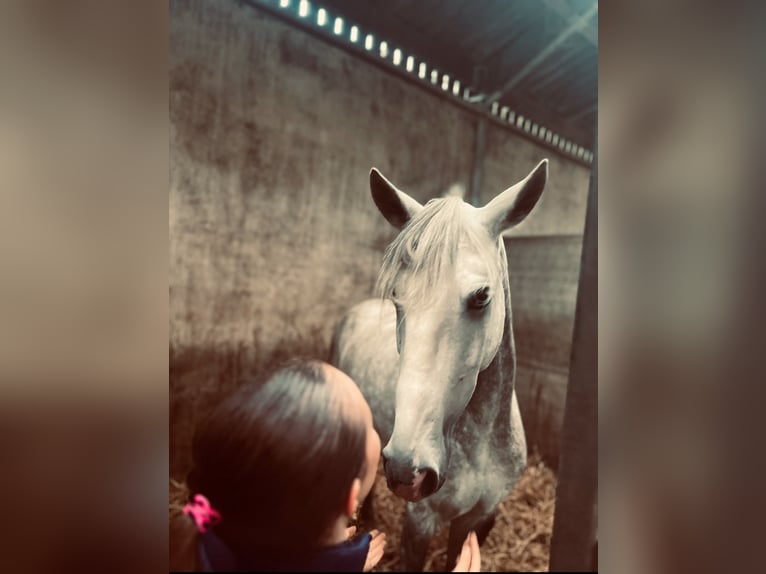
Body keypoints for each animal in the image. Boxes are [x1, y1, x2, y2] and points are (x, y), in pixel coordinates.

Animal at [331, 159, 549, 571]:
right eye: (396, 295)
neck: (481, 447)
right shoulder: (421, 521)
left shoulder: (477, 520)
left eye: (481, 296)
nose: (408, 471)